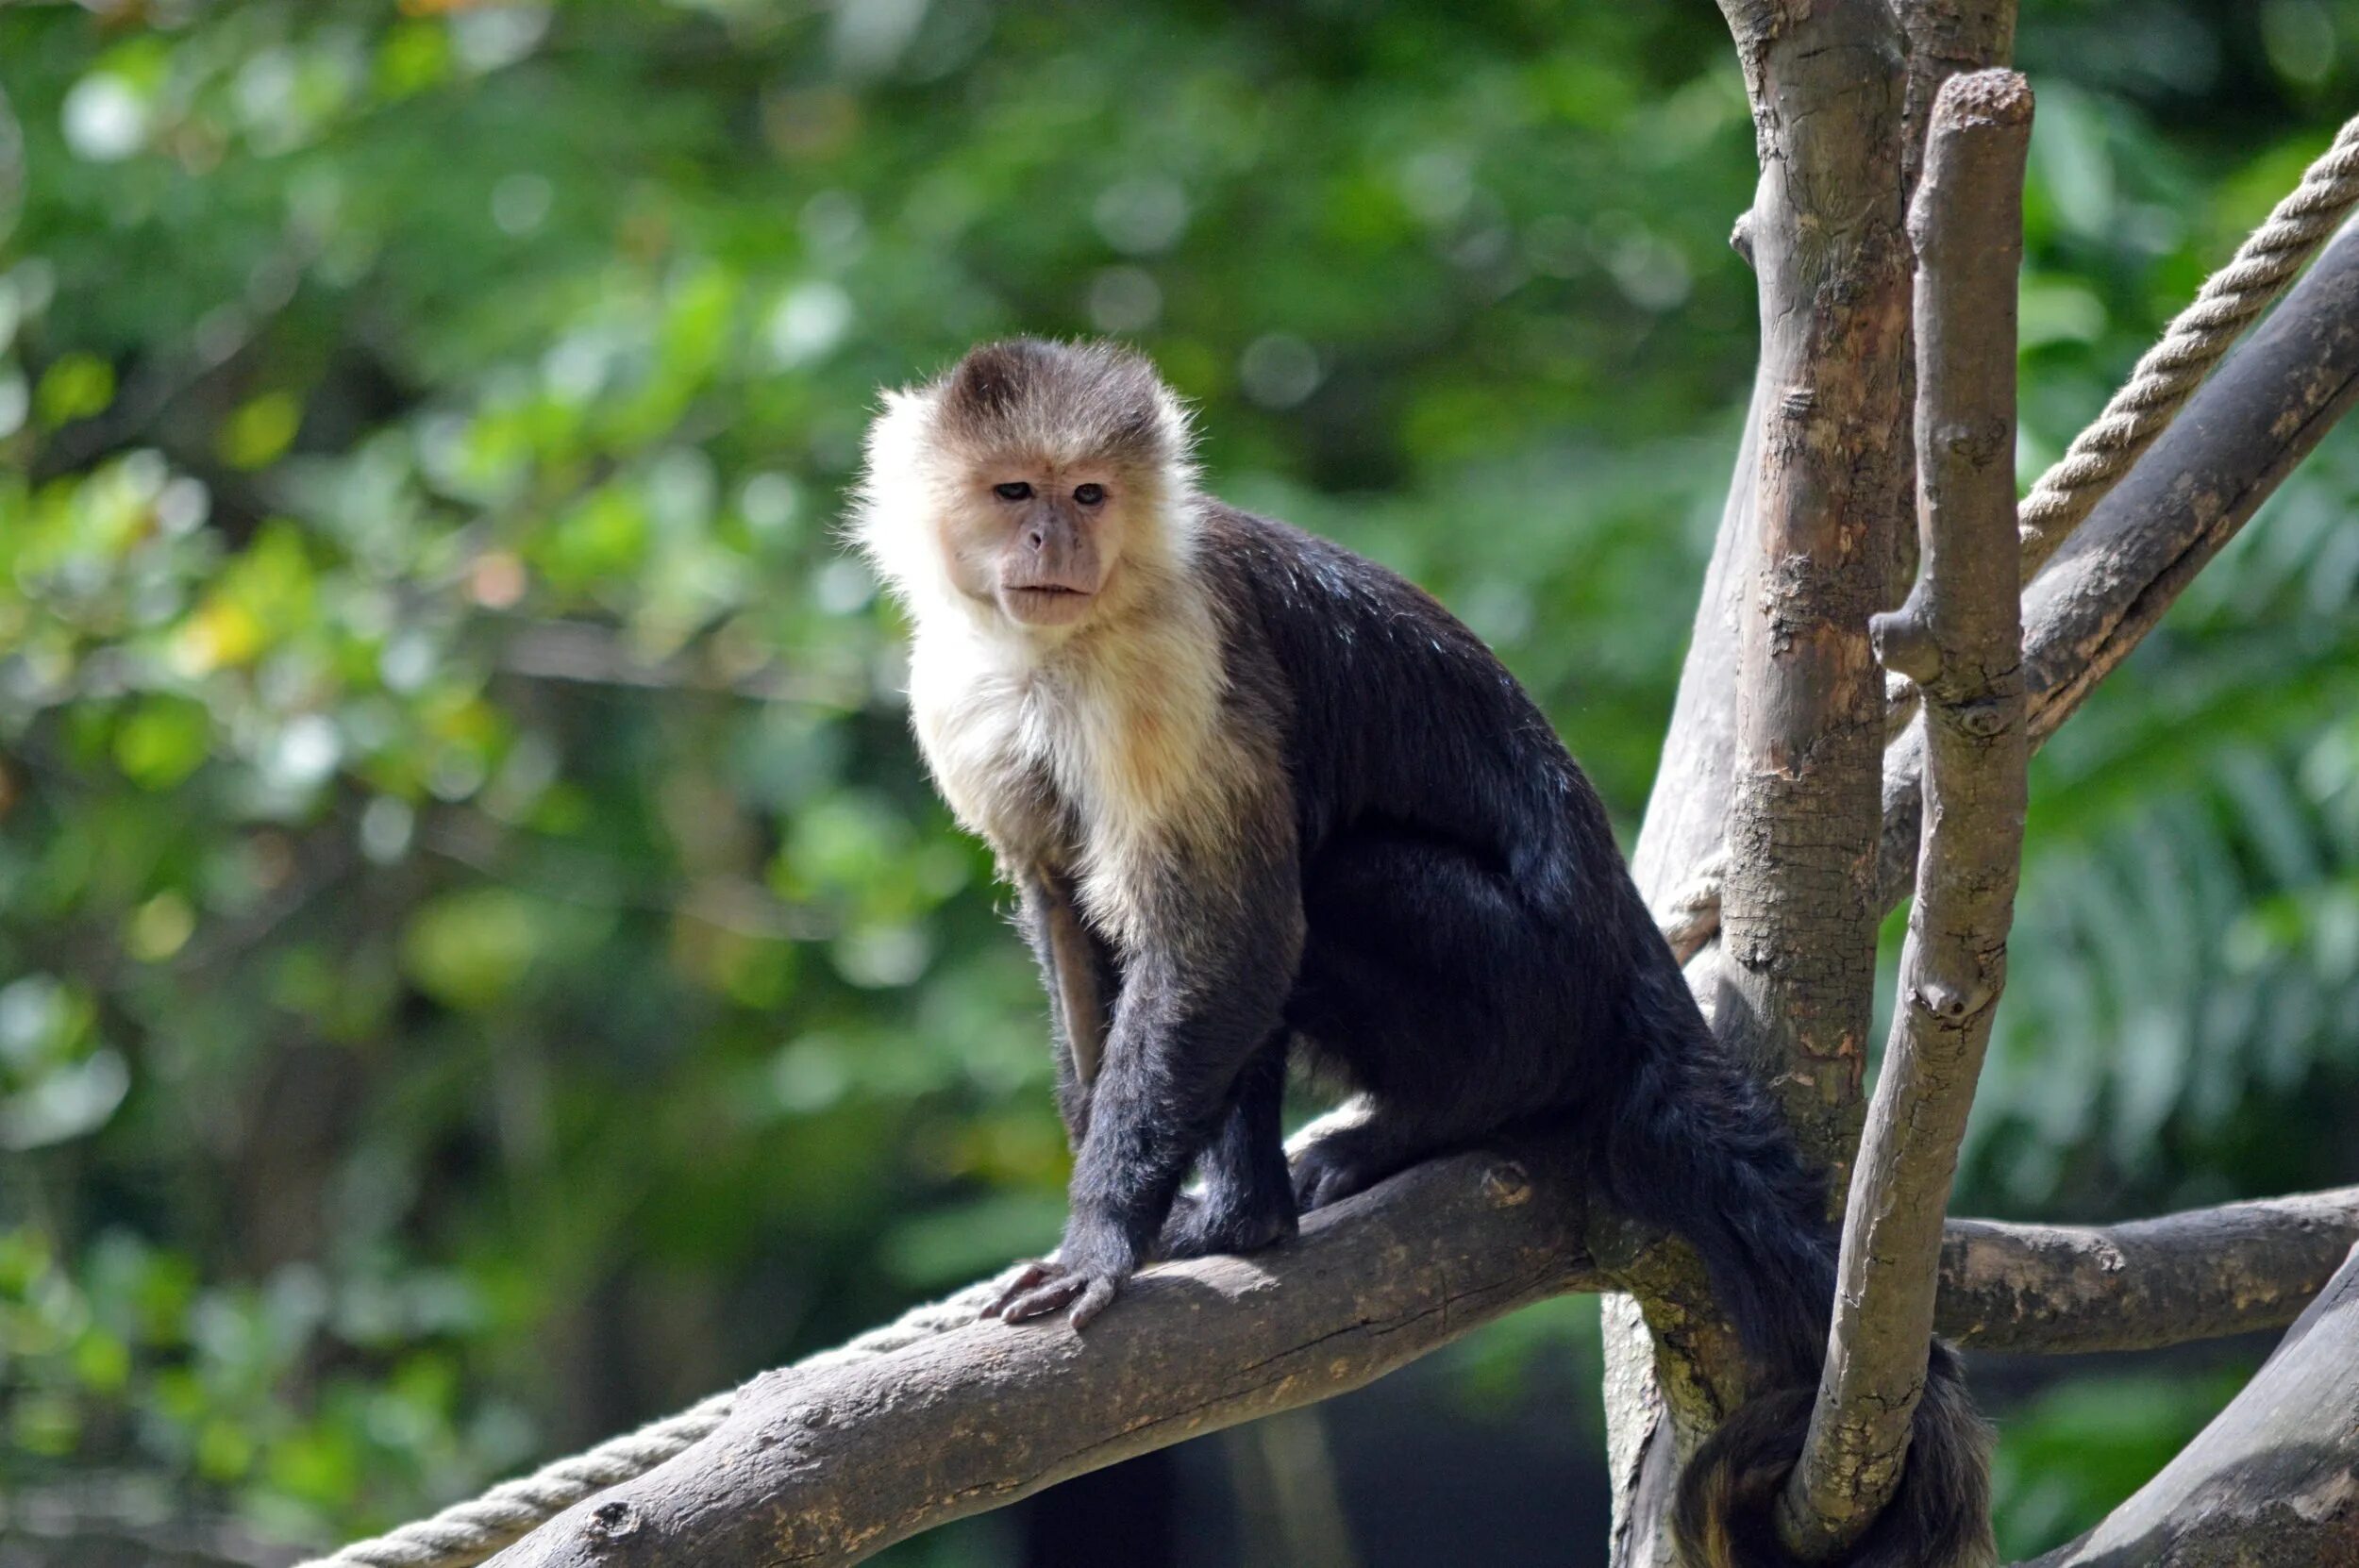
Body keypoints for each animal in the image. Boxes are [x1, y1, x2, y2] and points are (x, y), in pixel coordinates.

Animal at [849, 337, 1991, 1556]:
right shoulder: (958, 690)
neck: (1071, 638)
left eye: (1089, 496)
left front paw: (1105, 1235)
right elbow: (1066, 909)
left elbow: (1226, 936)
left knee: (1324, 881)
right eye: (1016, 492)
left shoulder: (1171, 658)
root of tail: (1630, 970)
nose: (1052, 542)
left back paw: (1343, 1168)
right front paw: (1118, 1198)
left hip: (1535, 998)